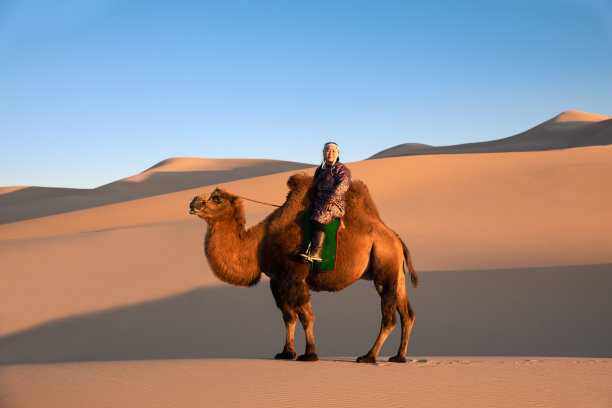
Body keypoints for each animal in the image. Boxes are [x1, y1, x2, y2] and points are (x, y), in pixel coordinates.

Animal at [189, 172, 418, 364]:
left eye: (216, 198)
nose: (193, 201)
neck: (259, 245)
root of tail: (396, 238)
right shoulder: (277, 280)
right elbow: (289, 317)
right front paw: (286, 352)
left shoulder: (293, 276)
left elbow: (306, 316)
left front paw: (310, 354)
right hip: (396, 274)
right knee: (407, 314)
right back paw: (399, 357)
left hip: (384, 266)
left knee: (389, 317)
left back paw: (368, 356)